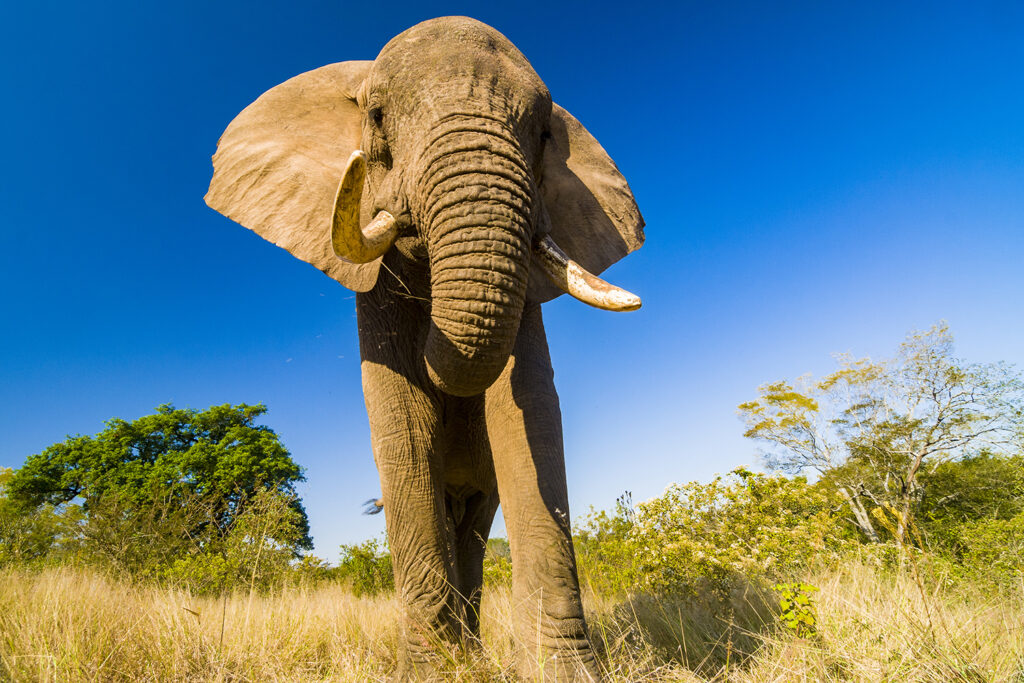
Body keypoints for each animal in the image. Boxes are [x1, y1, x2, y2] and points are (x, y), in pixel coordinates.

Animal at [203, 17, 643, 683]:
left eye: (544, 134)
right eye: (377, 117)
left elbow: (526, 415)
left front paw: (561, 670)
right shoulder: (376, 289)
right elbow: (408, 423)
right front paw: (437, 670)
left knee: (475, 523)